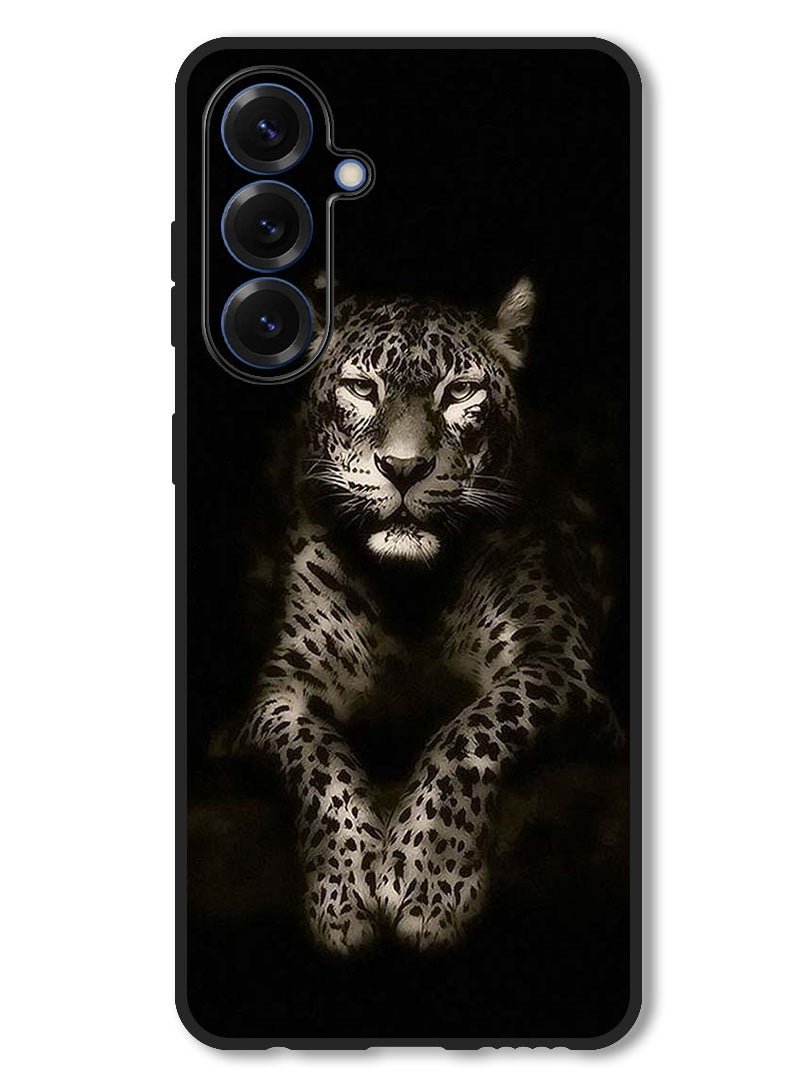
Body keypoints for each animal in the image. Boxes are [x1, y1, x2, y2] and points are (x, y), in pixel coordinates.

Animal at [234, 277, 624, 954]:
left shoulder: (558, 663)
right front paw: (344, 892)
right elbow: (318, 759)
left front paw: (427, 882)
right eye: (363, 388)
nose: (404, 468)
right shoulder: (279, 693)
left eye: (460, 391)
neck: (409, 593)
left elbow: (468, 732)